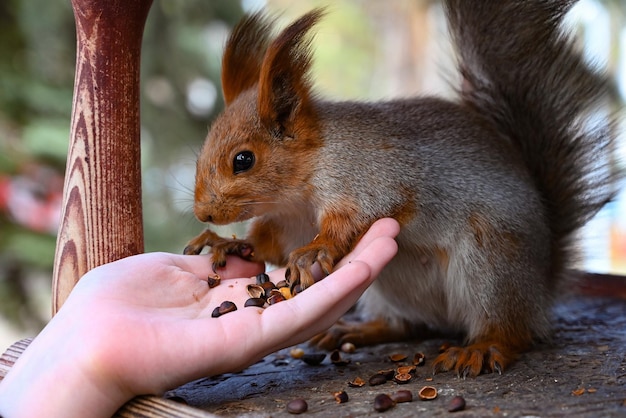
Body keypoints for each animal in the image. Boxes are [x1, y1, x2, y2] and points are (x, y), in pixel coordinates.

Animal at [184, 0, 616, 378]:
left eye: (244, 160)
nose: (204, 212)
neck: (298, 193)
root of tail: (542, 286)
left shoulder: (371, 177)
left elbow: (357, 216)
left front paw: (313, 252)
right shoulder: (288, 221)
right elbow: (268, 246)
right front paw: (226, 244)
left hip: (492, 262)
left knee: (512, 330)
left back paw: (483, 346)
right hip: (395, 286)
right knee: (411, 325)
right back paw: (359, 330)